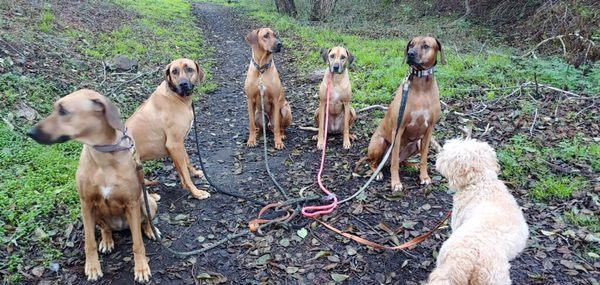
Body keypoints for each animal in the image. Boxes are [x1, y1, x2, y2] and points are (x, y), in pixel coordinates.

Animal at [27, 89, 161, 282]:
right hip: (95, 213)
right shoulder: (86, 204)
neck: (103, 157)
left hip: (146, 201)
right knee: (105, 228)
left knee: (145, 219)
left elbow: (137, 243)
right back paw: (106, 240)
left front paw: (141, 268)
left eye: (63, 111)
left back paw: (151, 230)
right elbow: (89, 242)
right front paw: (92, 267)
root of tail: (121, 226)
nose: (30, 132)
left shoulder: (132, 203)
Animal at [126, 57, 211, 199]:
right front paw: (196, 192)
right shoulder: (174, 144)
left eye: (190, 69)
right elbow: (185, 173)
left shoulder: (178, 144)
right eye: (174, 71)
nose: (183, 84)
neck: (176, 96)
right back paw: (152, 197)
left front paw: (194, 173)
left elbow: (185, 162)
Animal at [364, 35, 442, 191]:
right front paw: (396, 183)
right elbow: (394, 162)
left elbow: (424, 157)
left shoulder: (429, 130)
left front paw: (424, 176)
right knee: (375, 162)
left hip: (416, 143)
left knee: (402, 161)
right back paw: (378, 172)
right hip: (380, 143)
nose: (410, 54)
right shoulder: (398, 129)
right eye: (411, 45)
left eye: (426, 46)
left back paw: (412, 165)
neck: (421, 85)